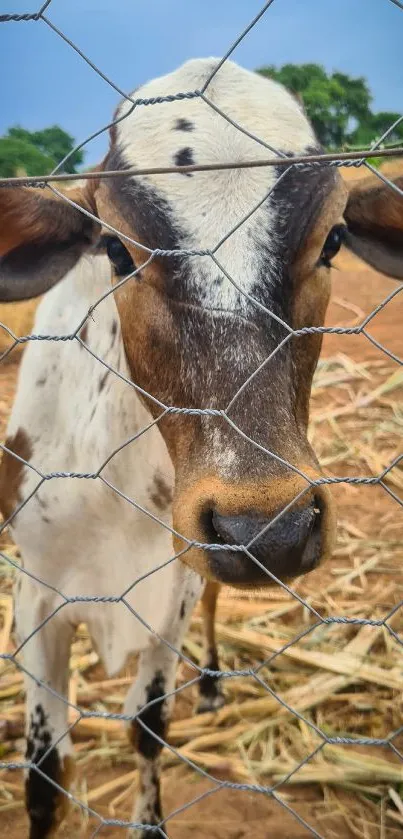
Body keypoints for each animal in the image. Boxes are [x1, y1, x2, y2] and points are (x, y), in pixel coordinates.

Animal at [0, 59, 402, 839]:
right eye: (117, 249)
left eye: (333, 240)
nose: (268, 530)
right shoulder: (35, 594)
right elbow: (44, 777)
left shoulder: (176, 584)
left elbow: (149, 726)